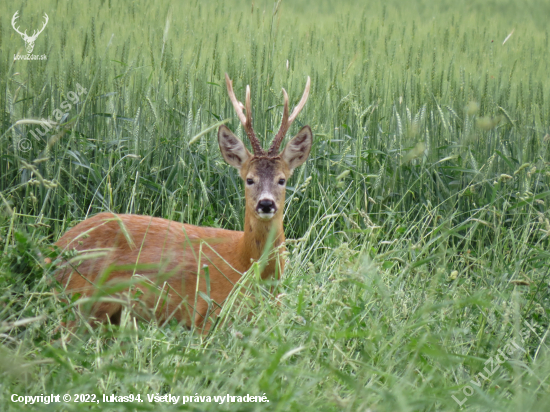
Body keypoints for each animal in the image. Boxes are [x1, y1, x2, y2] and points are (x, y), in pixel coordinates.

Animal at [56, 73, 314, 332]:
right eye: (249, 179)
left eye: (282, 180)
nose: (266, 204)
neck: (245, 263)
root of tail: (57, 247)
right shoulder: (207, 314)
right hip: (81, 300)